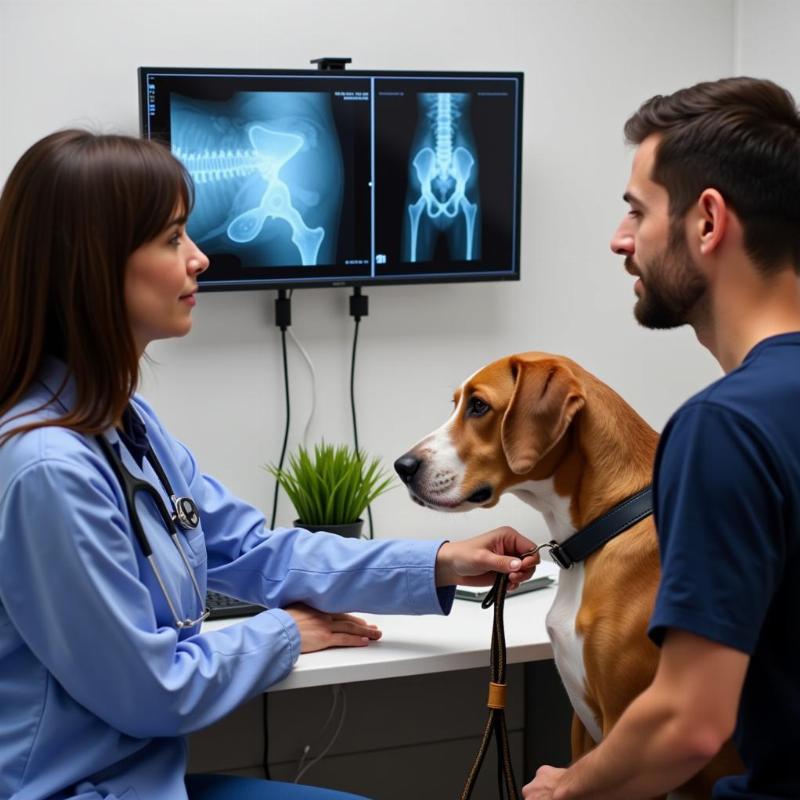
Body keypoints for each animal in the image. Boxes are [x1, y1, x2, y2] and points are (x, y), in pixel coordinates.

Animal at [396, 354, 740, 796]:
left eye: (478, 406)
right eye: (457, 404)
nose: (402, 466)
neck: (599, 532)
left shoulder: (632, 731)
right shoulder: (582, 726)